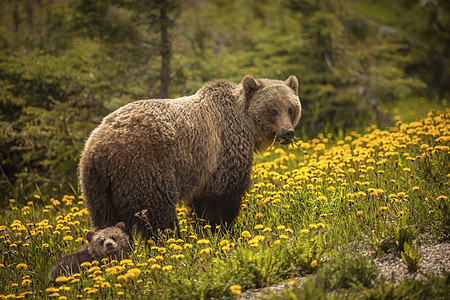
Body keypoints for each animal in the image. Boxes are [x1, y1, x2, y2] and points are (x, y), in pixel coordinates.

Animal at [79, 75, 300, 239]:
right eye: (272, 110)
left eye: (291, 108)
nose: (287, 132)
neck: (246, 124)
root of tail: (97, 148)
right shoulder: (224, 149)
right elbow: (224, 196)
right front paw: (224, 230)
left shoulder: (204, 168)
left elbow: (201, 203)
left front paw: (204, 229)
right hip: (143, 167)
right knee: (157, 212)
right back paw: (171, 240)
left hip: (98, 186)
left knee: (105, 219)